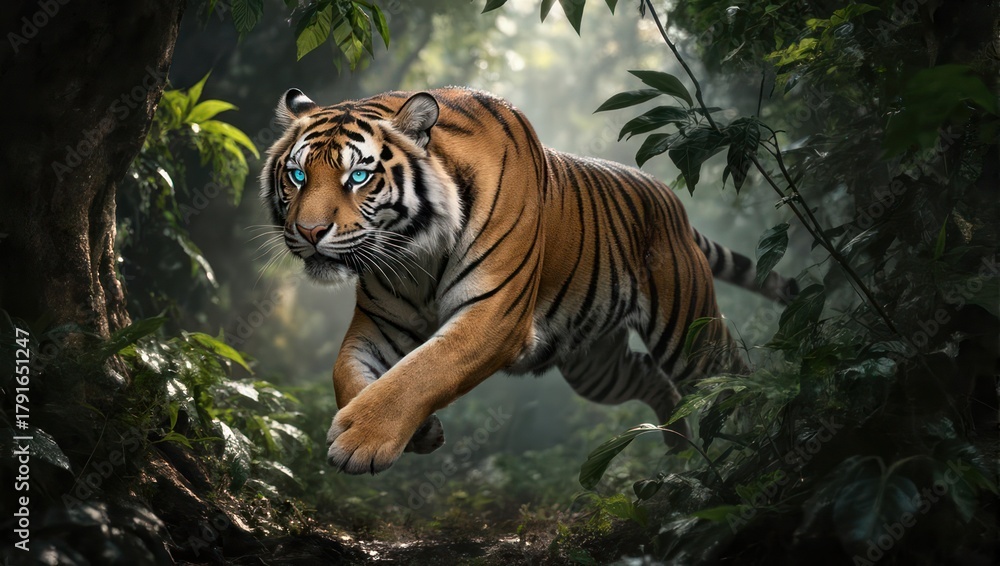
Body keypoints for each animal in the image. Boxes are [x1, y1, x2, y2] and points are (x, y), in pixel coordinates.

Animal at [260, 87, 797, 474]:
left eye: (357, 178)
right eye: (297, 175)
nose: (309, 232)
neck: (415, 250)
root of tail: (671, 200)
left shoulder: (494, 315)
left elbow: (425, 370)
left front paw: (360, 441)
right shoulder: (378, 323)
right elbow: (346, 374)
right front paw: (417, 431)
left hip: (688, 334)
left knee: (731, 375)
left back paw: (760, 448)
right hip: (596, 367)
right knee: (651, 377)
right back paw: (677, 447)